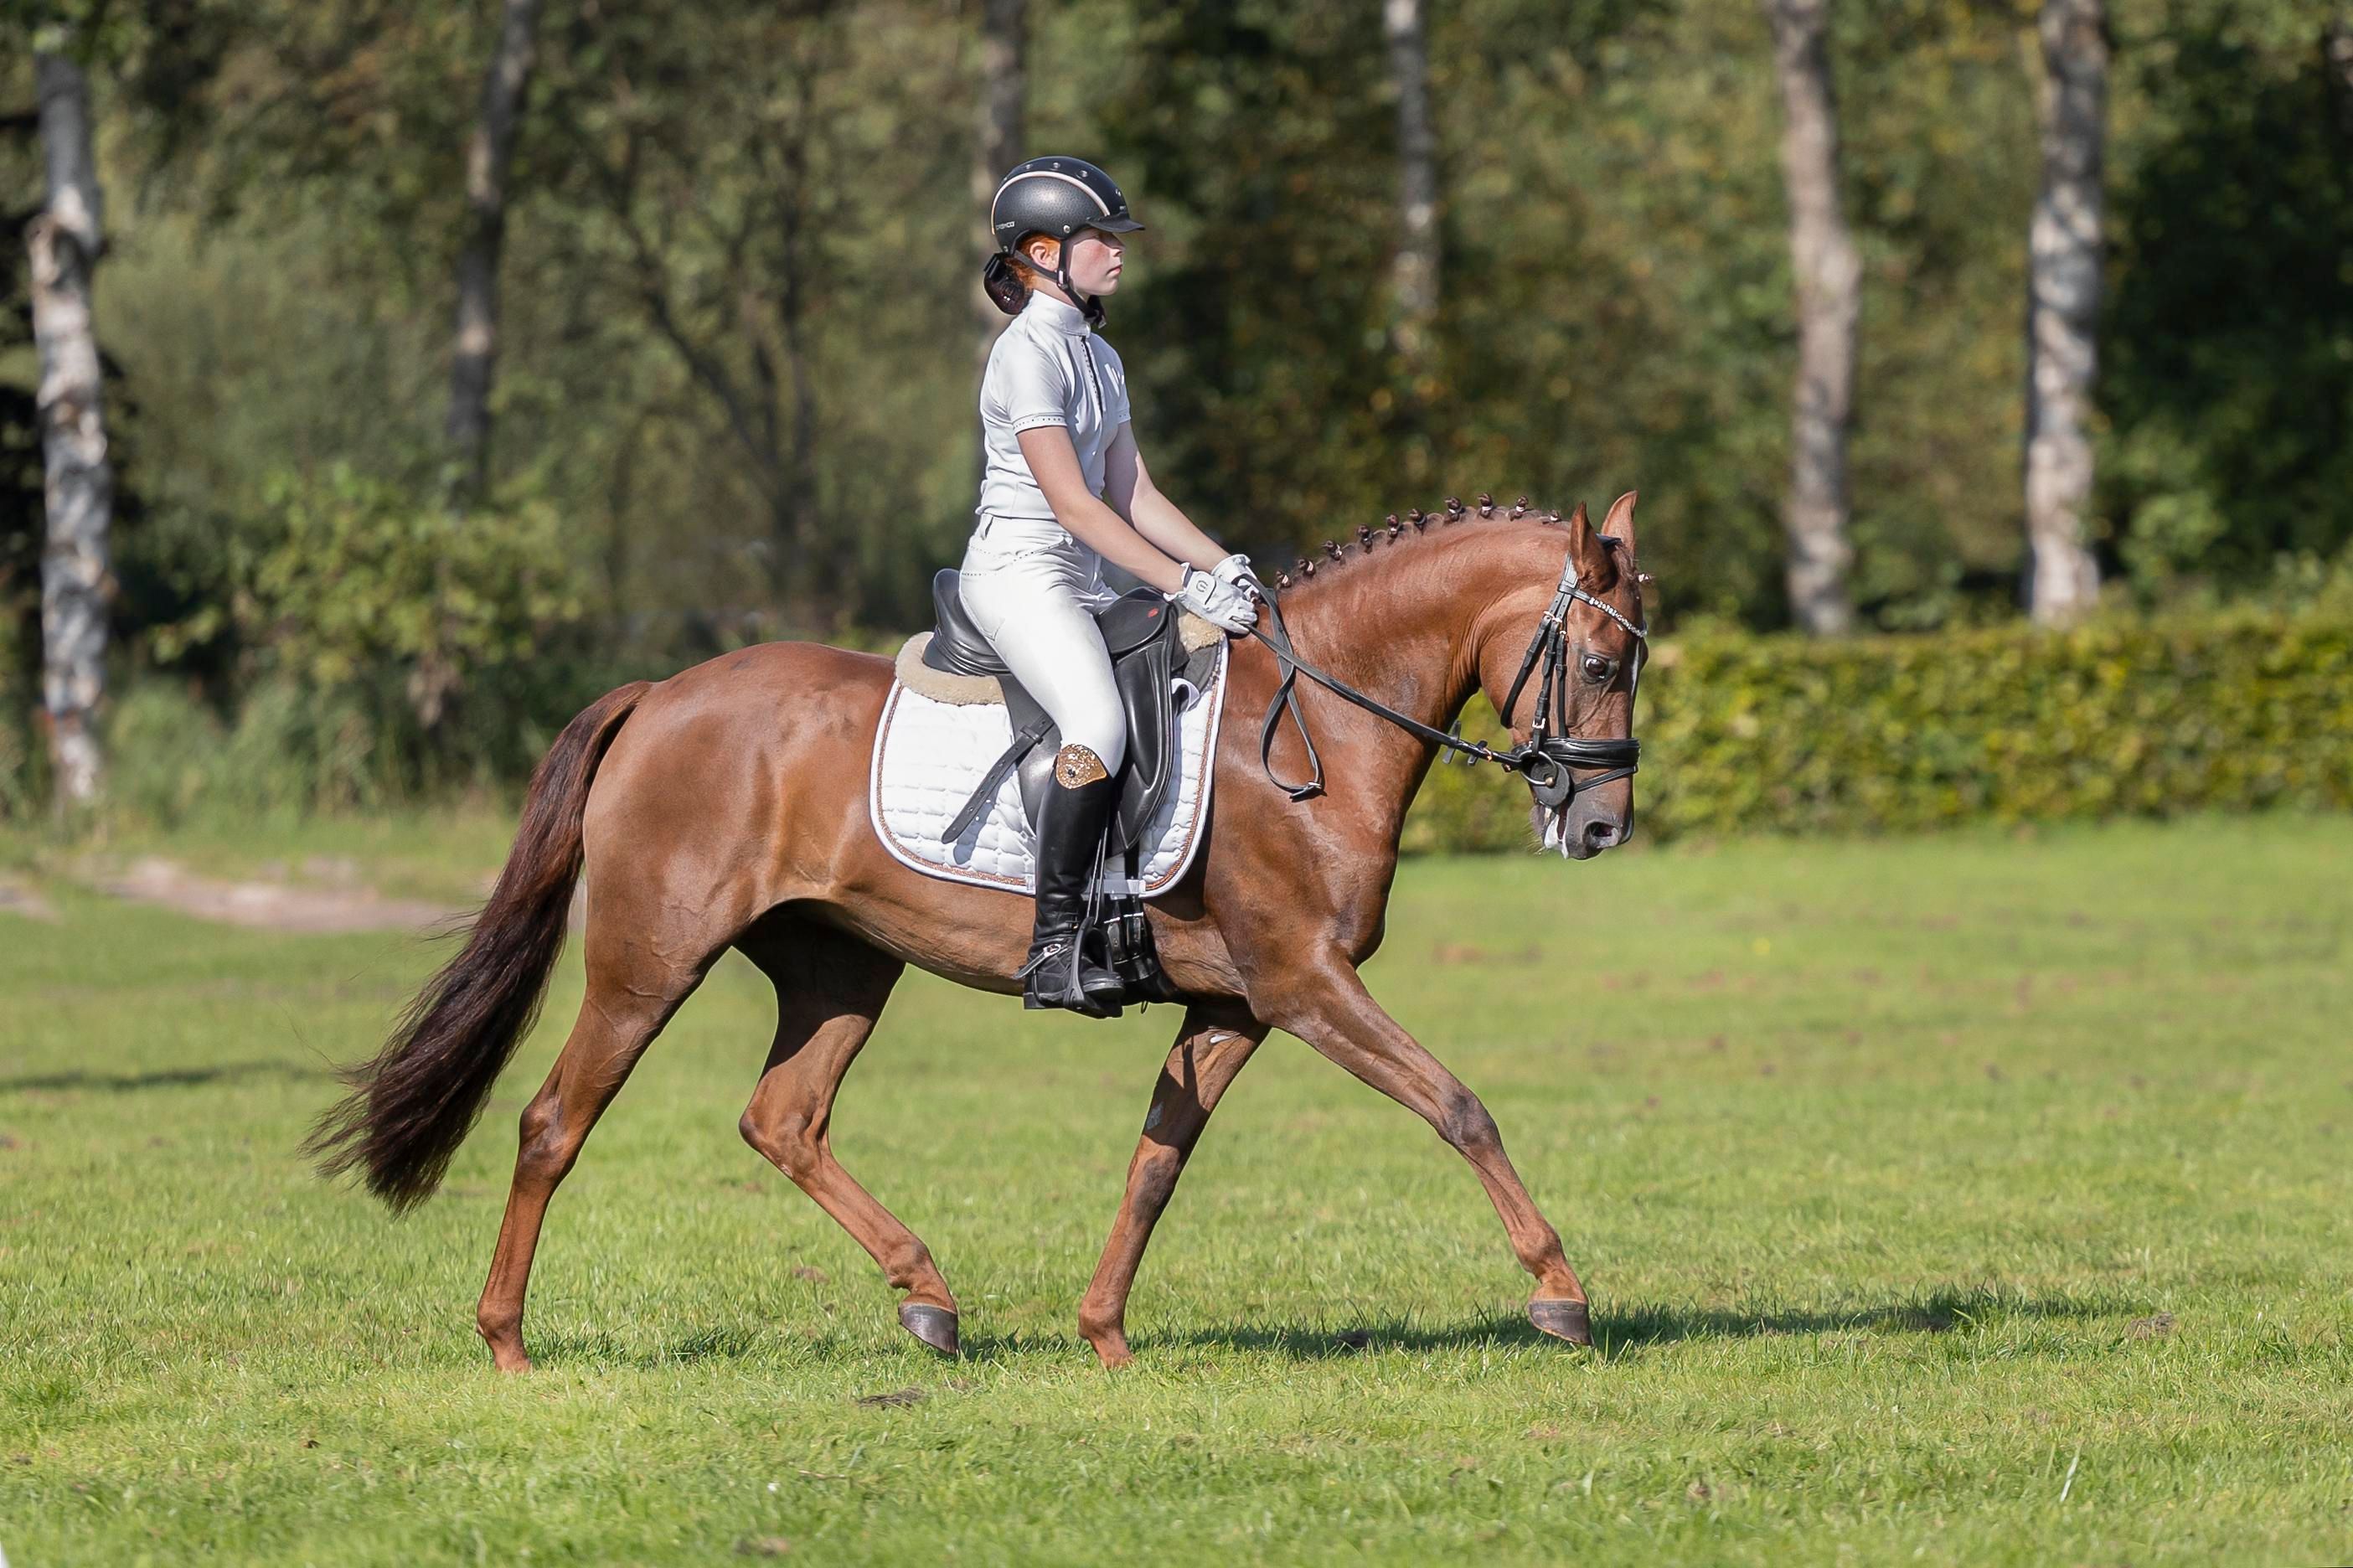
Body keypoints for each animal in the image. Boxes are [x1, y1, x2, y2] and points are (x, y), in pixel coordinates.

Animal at [308, 490, 1650, 1371]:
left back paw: (927, 1298)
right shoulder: (1305, 985)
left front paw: (1105, 1335)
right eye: (1597, 663)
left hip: (842, 966)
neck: (1312, 721)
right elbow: (1458, 1105)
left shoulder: (1235, 1006)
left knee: (782, 1119)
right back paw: (507, 1345)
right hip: (649, 964)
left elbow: (1156, 1163)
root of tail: (660, 695)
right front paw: (1562, 1295)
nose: (1599, 828)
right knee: (553, 1123)